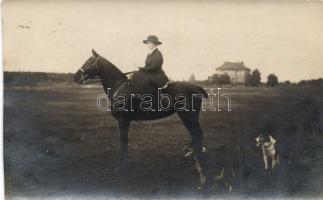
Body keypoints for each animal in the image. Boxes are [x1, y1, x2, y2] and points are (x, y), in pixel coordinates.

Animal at [73, 48, 209, 170]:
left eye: (90, 62)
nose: (75, 77)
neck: (120, 87)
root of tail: (197, 87)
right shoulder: (121, 121)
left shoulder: (123, 120)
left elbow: (124, 140)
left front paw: (122, 165)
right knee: (196, 133)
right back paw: (194, 156)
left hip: (188, 115)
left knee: (196, 133)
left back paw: (197, 159)